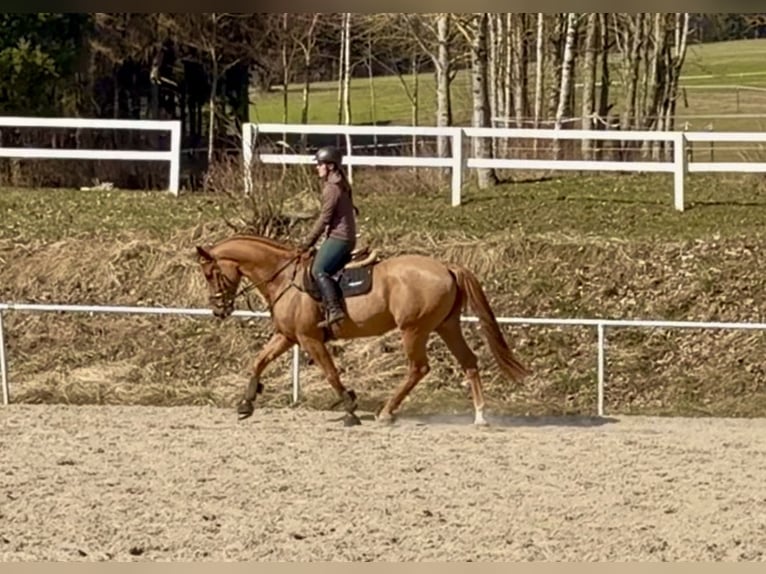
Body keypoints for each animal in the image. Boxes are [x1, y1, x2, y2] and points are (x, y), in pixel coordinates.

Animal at [194, 233, 531, 426]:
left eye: (210, 274)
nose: (218, 310)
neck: (284, 277)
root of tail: (447, 266)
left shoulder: (309, 338)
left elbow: (331, 374)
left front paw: (350, 408)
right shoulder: (287, 336)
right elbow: (259, 361)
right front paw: (246, 403)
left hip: (414, 330)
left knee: (418, 369)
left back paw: (386, 413)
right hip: (446, 327)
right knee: (469, 362)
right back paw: (480, 416)